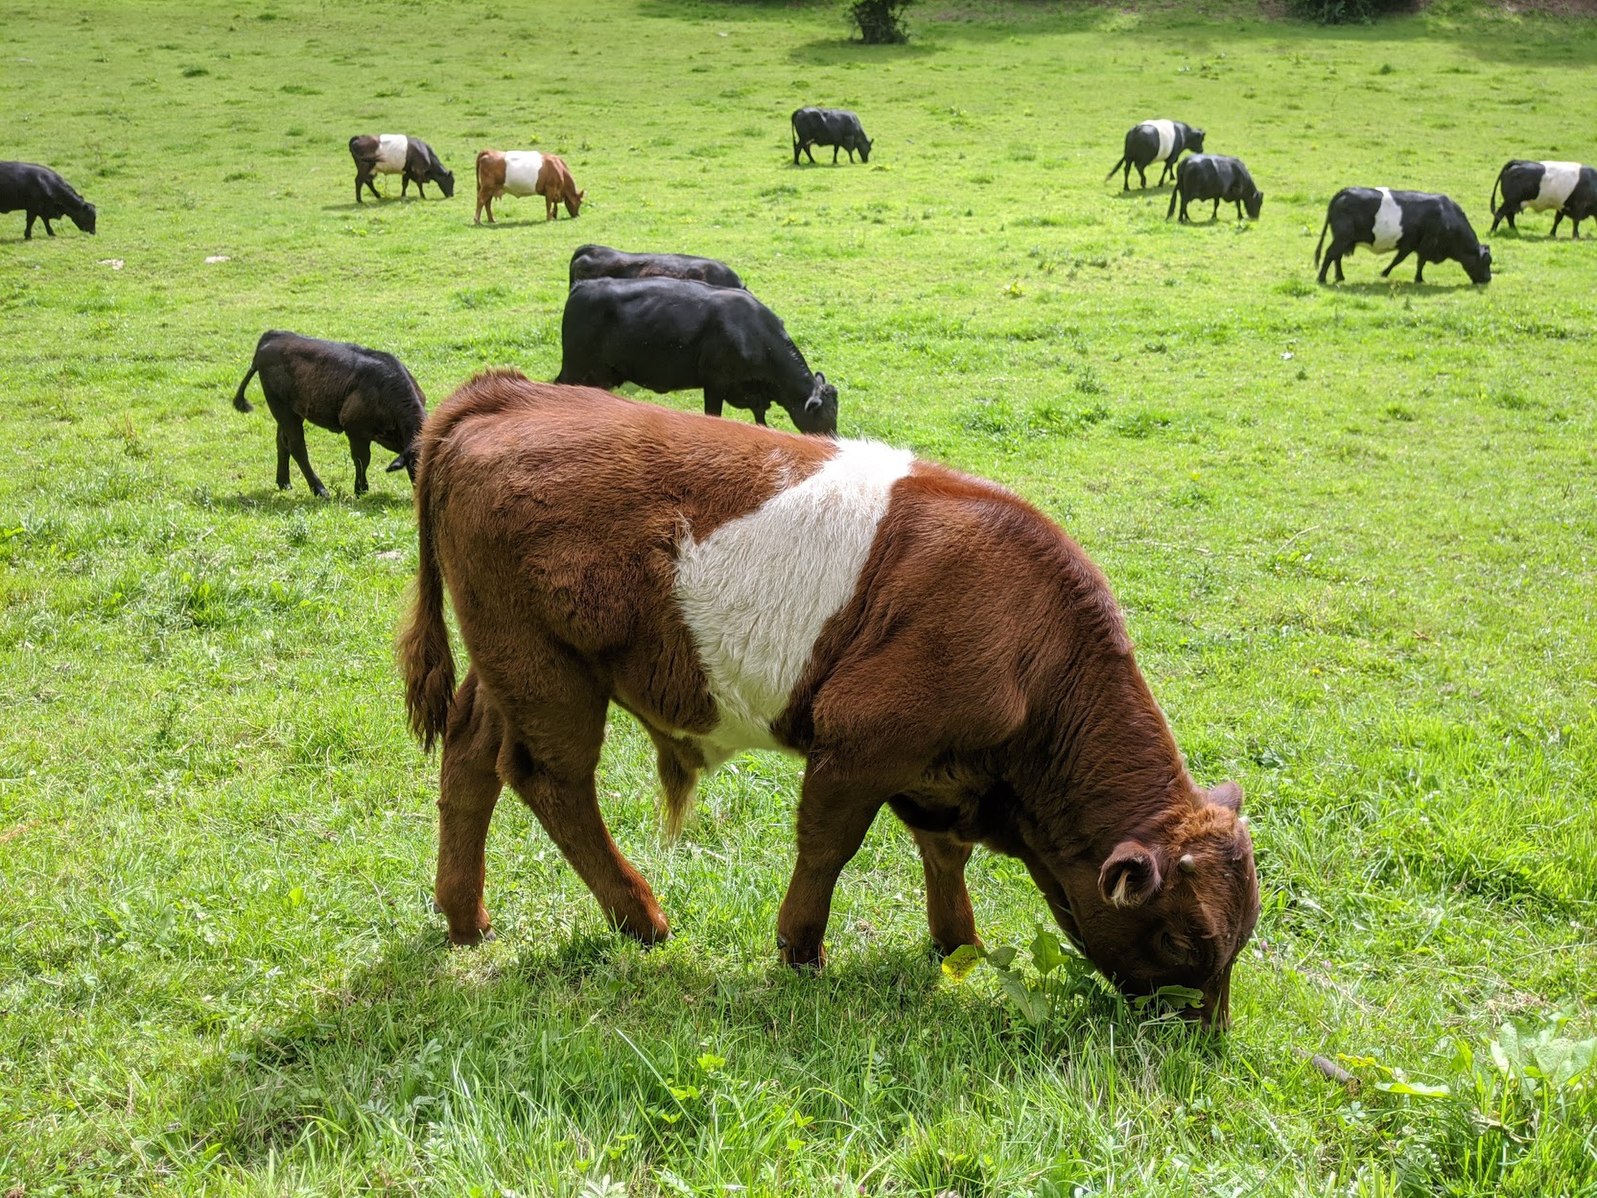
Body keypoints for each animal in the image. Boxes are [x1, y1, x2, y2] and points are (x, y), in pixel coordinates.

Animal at [231, 330, 427, 498]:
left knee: (282, 441)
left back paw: (284, 482)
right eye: (415, 465)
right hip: (281, 407)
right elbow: (362, 459)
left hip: (291, 410)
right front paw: (360, 489)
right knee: (297, 447)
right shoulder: (356, 430)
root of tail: (273, 335)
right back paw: (319, 489)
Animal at [399, 370, 1258, 1028]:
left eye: (1237, 942)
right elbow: (827, 847)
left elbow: (942, 852)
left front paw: (958, 942)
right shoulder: (860, 742)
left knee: (471, 753)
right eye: (1182, 944)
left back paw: (465, 919)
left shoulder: (939, 768)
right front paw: (801, 949)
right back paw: (639, 916)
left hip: (507, 665)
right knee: (552, 781)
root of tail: (508, 393)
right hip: (548, 668)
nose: (1204, 1036)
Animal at [555, 276, 843, 437]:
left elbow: (761, 422)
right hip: (575, 366)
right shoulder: (715, 383)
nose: (834, 440)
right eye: (826, 415)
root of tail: (582, 286)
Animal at [1315, 190, 1488, 289]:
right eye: (1487, 262)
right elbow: (1414, 261)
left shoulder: (1411, 244)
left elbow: (1402, 259)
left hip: (1343, 239)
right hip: (1342, 237)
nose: (1488, 279)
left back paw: (1340, 277)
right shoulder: (1425, 244)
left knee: (1336, 256)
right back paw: (1322, 278)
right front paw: (1416, 278)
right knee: (1330, 254)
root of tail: (1345, 192)